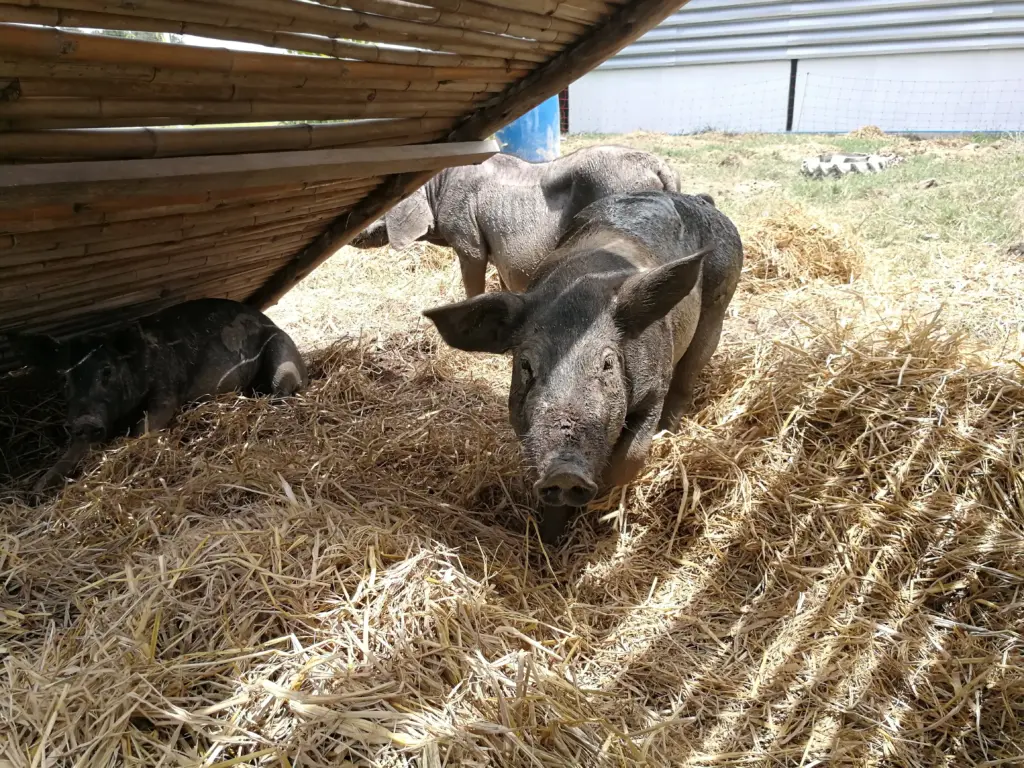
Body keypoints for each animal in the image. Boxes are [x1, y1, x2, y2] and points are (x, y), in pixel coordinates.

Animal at [6, 298, 307, 496]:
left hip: (281, 357)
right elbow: (71, 453)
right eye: (64, 378)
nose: (85, 421)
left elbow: (142, 430)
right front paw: (36, 493)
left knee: (282, 391)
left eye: (107, 370)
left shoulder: (166, 394)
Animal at [423, 191, 743, 544]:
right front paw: (548, 541)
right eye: (525, 364)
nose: (565, 471)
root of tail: (702, 200)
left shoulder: (654, 390)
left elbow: (629, 459)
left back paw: (667, 433)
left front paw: (601, 505)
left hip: (718, 305)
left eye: (607, 363)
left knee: (688, 377)